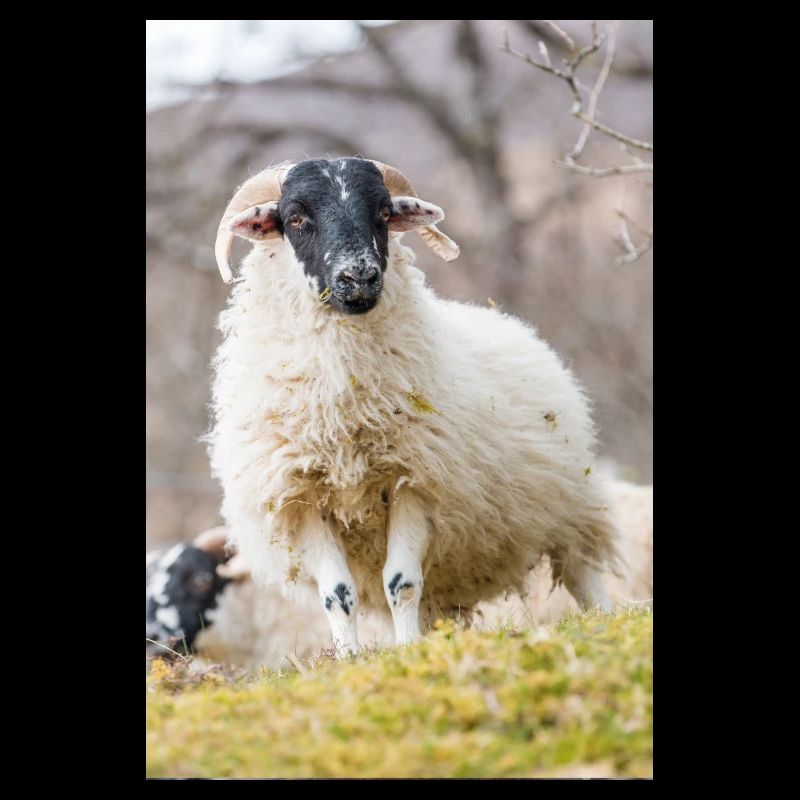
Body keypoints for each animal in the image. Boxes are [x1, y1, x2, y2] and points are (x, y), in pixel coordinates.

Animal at [206, 157, 623, 657]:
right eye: (296, 218)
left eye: (385, 213)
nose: (360, 277)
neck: (343, 416)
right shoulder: (301, 495)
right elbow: (336, 594)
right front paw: (350, 658)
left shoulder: (415, 481)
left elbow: (401, 582)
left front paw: (407, 652)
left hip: (570, 506)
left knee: (582, 570)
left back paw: (604, 620)